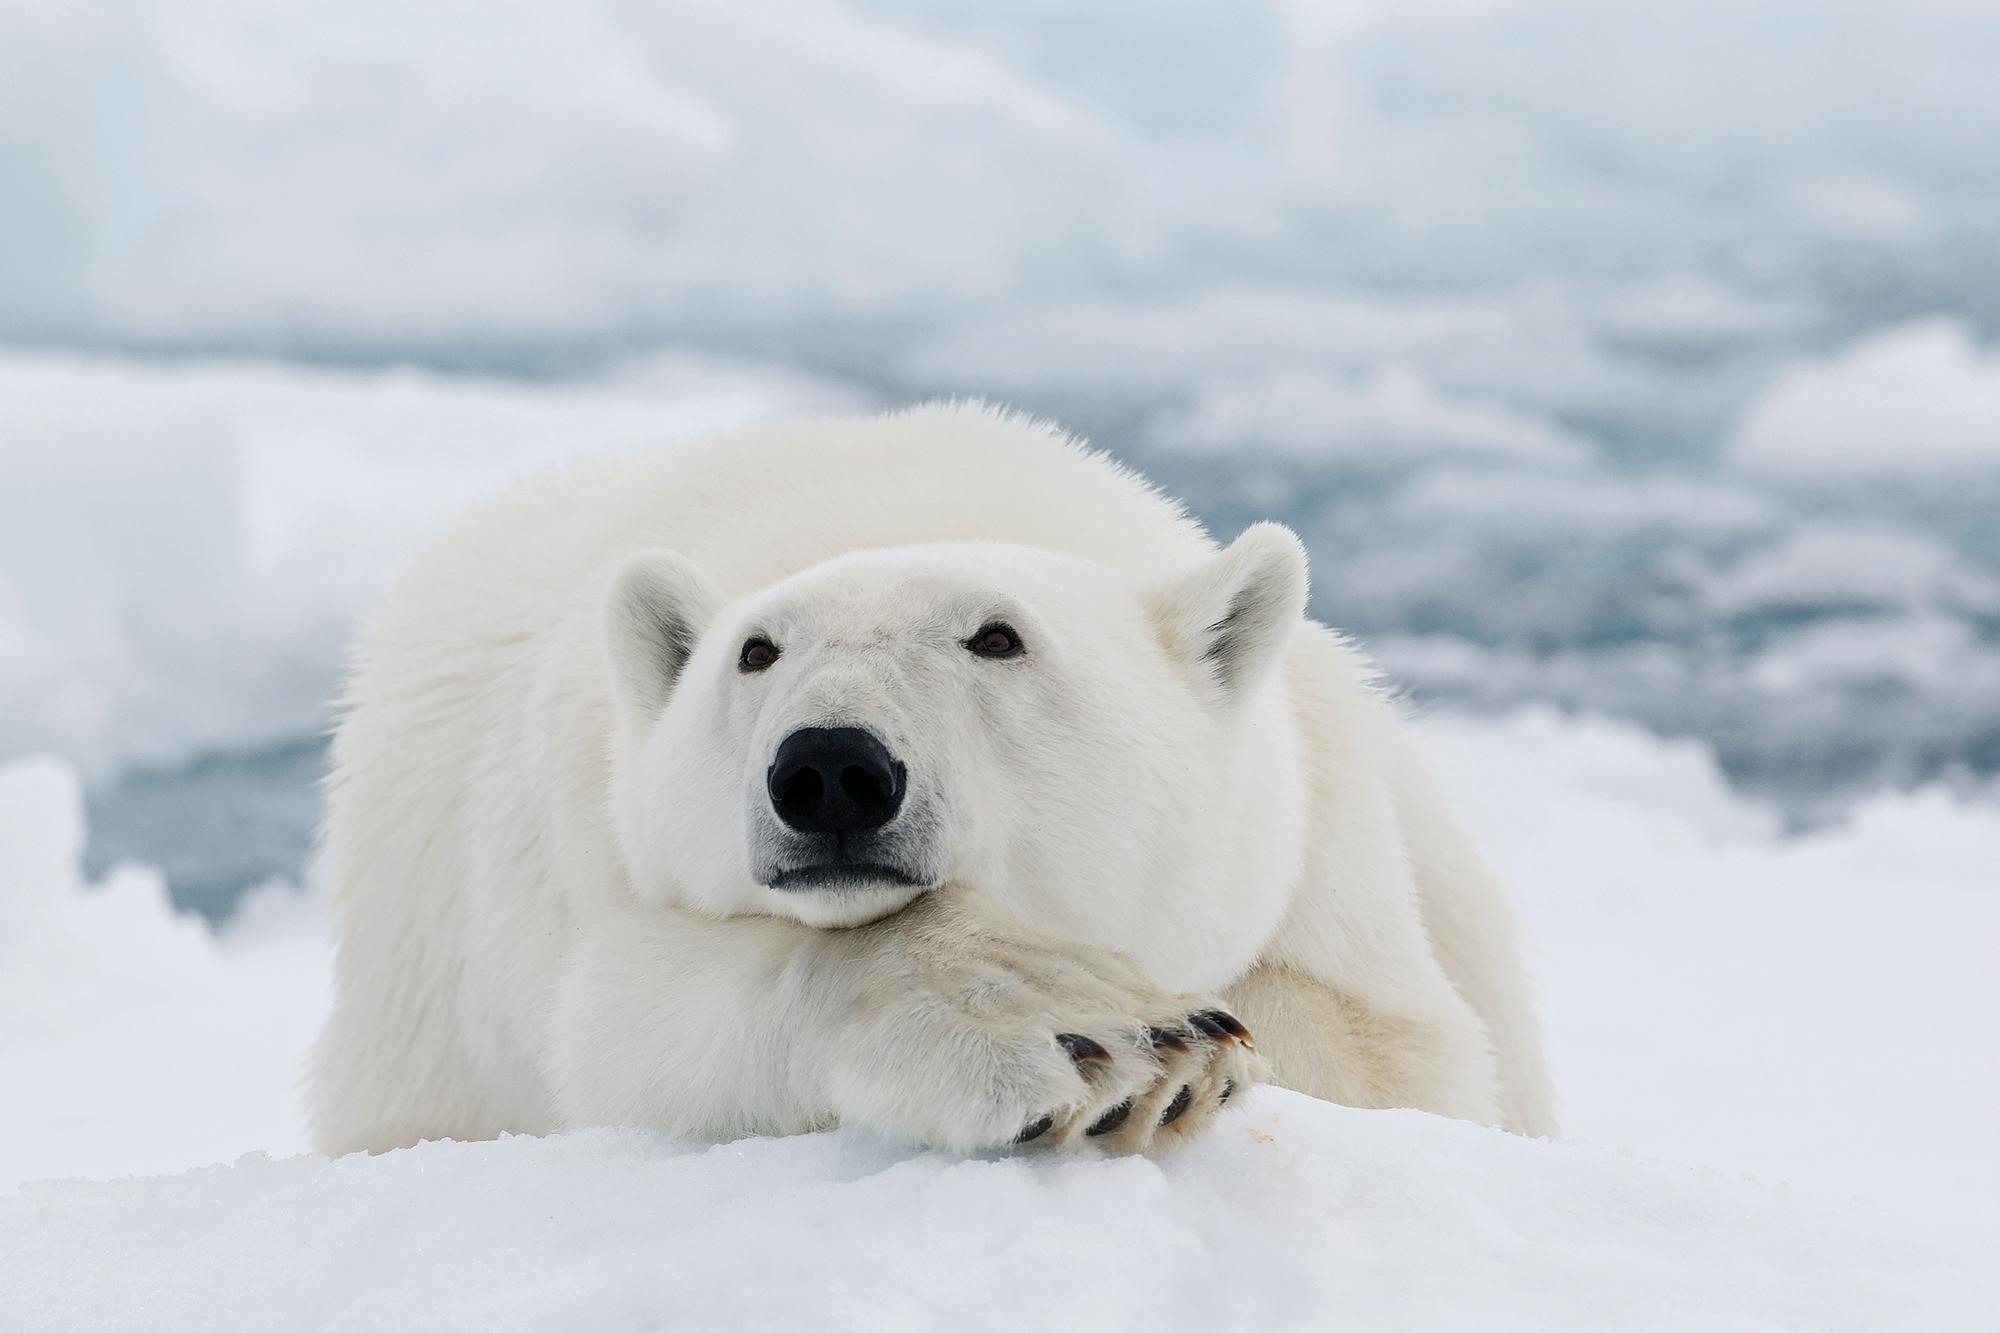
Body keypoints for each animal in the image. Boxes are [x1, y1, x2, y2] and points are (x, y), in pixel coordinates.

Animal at [308, 404, 1560, 1152]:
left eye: (996, 637)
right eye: (755, 650)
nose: (830, 768)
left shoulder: (1323, 848)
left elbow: (1395, 1054)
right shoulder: (584, 858)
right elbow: (632, 1017)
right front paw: (1096, 1033)